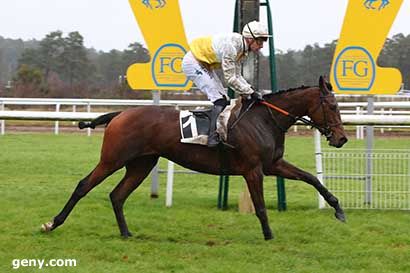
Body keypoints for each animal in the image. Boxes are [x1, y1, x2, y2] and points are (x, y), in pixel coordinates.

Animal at [41, 75, 348, 239]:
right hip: (112, 160)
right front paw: (269, 235)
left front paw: (338, 209)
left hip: (141, 164)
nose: (342, 138)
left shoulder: (273, 165)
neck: (264, 119)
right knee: (84, 186)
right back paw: (52, 223)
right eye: (333, 106)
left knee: (117, 195)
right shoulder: (253, 169)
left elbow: (311, 178)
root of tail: (120, 113)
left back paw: (126, 233)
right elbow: (260, 206)